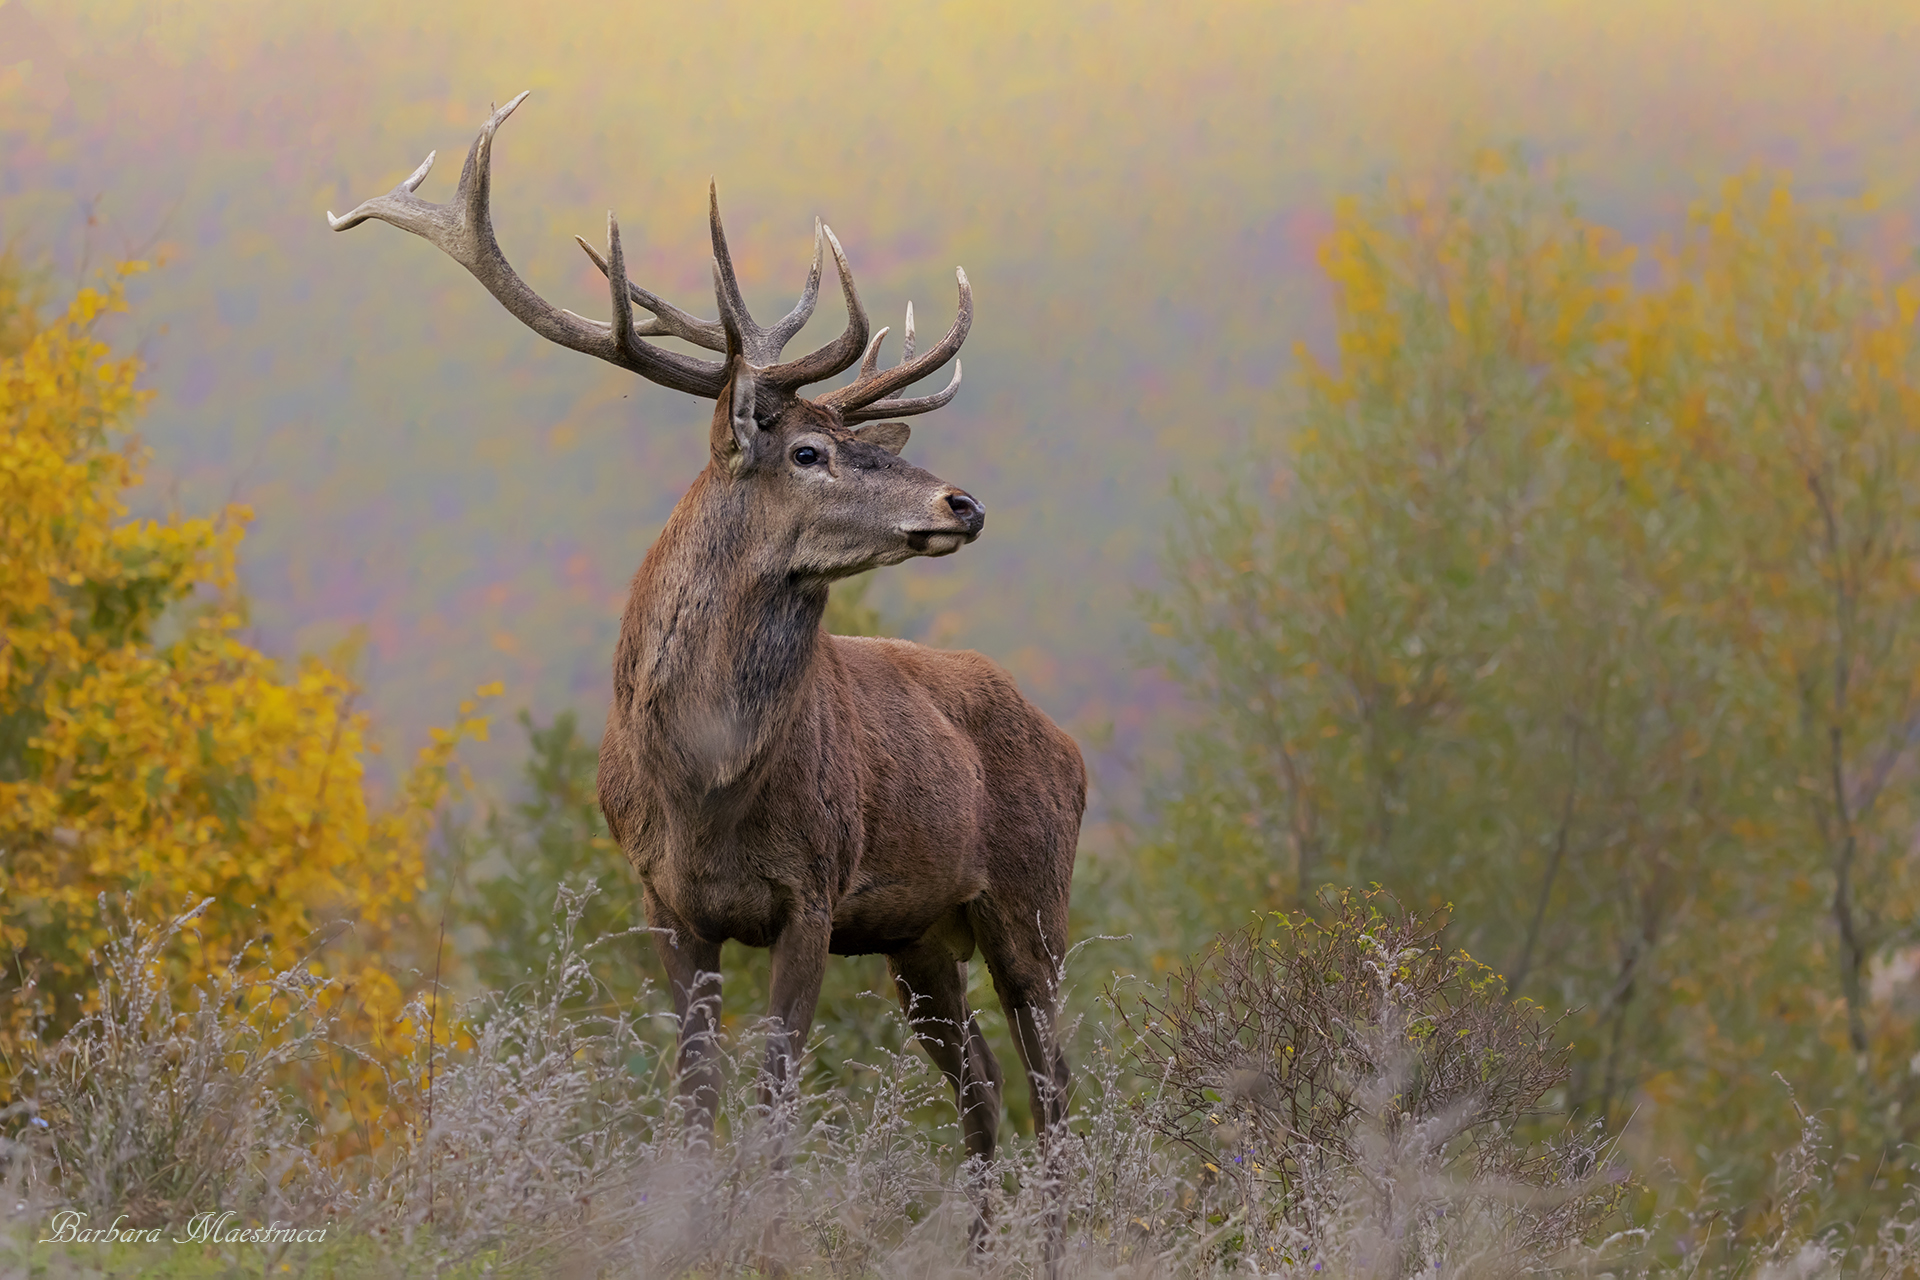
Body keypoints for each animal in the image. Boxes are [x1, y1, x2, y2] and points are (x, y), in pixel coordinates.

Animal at [329, 92, 1085, 1252]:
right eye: (810, 453)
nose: (962, 502)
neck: (703, 786)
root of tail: (1071, 746)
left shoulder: (813, 889)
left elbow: (773, 1098)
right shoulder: (667, 902)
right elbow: (693, 1100)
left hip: (1032, 897)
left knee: (1057, 1088)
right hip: (920, 936)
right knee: (988, 1084)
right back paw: (981, 1244)